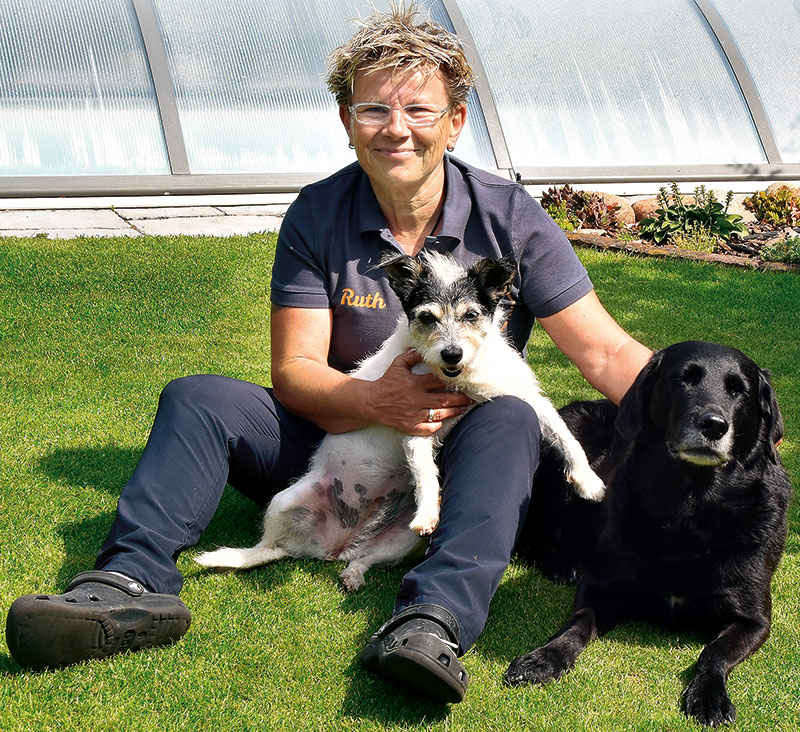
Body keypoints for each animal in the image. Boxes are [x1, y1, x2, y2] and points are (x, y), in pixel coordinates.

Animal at [197, 250, 604, 588]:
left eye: (471, 315)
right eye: (427, 318)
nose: (452, 354)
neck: (456, 380)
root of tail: (331, 546)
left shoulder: (526, 397)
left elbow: (565, 436)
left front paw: (587, 481)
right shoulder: (414, 421)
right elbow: (425, 472)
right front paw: (427, 509)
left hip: (400, 542)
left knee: (361, 557)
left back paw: (354, 573)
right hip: (284, 500)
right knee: (269, 547)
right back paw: (232, 556)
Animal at [510, 342, 792, 728]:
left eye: (739, 390)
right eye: (683, 379)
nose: (713, 425)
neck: (690, 505)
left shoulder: (754, 620)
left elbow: (716, 652)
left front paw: (709, 694)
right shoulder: (599, 587)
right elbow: (577, 625)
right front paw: (545, 657)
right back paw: (559, 564)